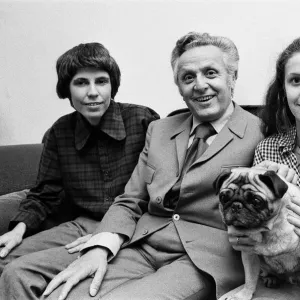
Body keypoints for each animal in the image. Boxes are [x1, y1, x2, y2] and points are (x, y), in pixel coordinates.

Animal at [214, 166, 300, 300]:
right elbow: (250, 278)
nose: (236, 205)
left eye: (256, 201)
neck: (267, 230)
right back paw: (271, 278)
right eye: (223, 198)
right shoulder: (250, 256)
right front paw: (244, 295)